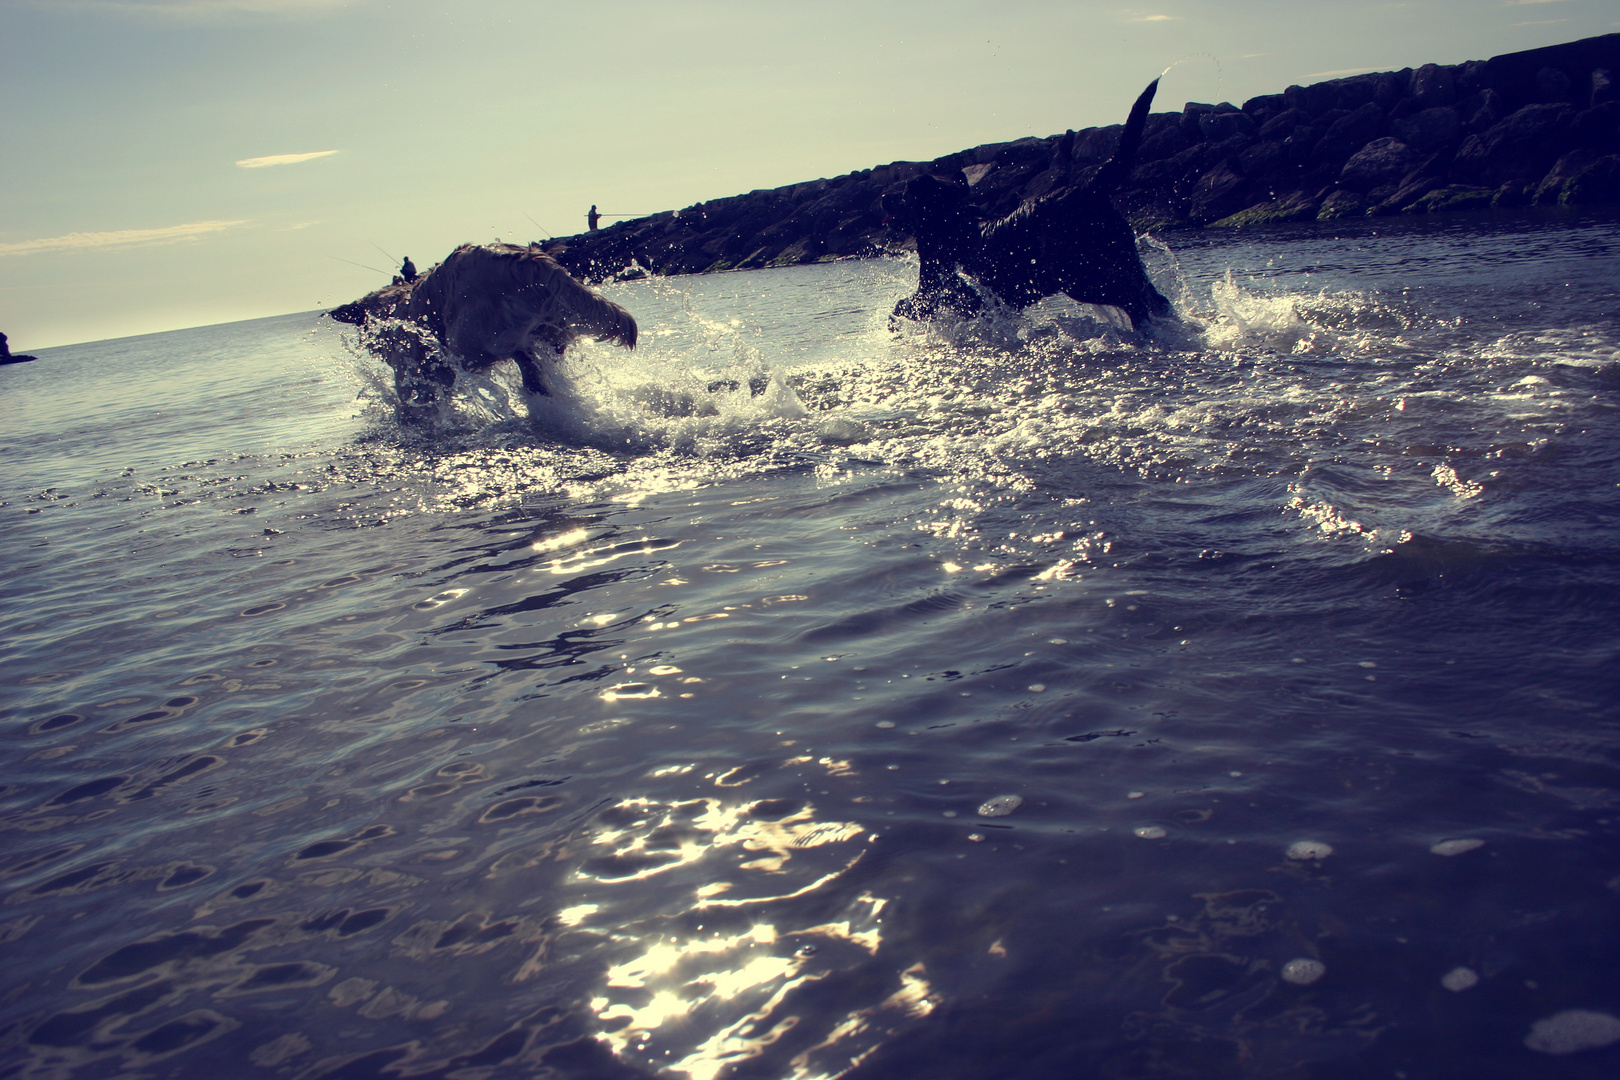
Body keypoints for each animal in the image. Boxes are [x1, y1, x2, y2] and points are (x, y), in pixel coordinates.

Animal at [894, 79, 1172, 327]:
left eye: (903, 194)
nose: (886, 199)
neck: (950, 228)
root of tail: (1088, 188)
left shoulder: (946, 294)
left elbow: (905, 306)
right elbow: (905, 305)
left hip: (1082, 276)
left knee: (1133, 300)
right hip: (1123, 259)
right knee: (1153, 299)